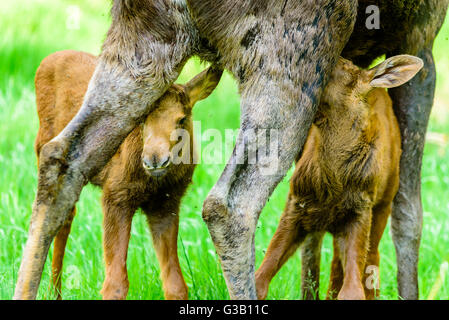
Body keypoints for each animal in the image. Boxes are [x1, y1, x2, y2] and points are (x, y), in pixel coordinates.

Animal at [34, 50, 221, 300]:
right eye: (141, 119)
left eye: (181, 119)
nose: (154, 159)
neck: (153, 183)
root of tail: (47, 59)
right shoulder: (115, 195)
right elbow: (115, 284)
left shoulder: (166, 203)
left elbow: (176, 284)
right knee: (61, 217)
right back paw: (53, 293)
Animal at [256, 54, 424, 300]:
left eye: (335, 66)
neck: (331, 184)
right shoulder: (296, 204)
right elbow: (260, 278)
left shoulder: (361, 209)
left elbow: (353, 290)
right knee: (337, 263)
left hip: (383, 202)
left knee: (371, 257)